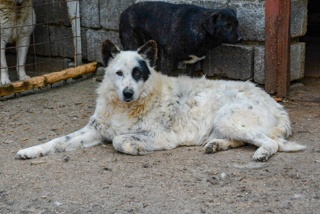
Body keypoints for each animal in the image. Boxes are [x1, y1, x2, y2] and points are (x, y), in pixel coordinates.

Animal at [16, 39, 306, 160]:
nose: (128, 93)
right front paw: (31, 150)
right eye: (119, 73)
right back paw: (215, 145)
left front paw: (133, 147)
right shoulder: (95, 130)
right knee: (243, 140)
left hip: (228, 118)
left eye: (138, 72)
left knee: (272, 143)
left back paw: (261, 153)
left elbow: (120, 140)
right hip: (224, 125)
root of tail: (277, 105)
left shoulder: (162, 136)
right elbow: (57, 142)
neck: (125, 107)